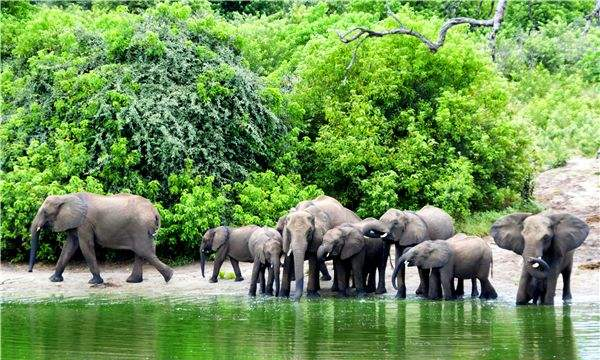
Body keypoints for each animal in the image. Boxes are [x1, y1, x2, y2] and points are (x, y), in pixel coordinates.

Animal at [29, 191, 172, 284]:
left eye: (45, 212)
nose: (30, 271)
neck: (66, 197)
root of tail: (155, 211)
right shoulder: (76, 222)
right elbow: (69, 247)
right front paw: (53, 280)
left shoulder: (85, 223)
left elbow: (85, 246)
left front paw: (95, 282)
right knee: (141, 252)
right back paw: (133, 281)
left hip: (141, 227)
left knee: (144, 251)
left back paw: (169, 276)